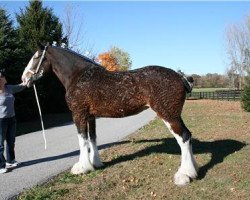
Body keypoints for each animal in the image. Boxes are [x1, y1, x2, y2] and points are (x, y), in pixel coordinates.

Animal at [21, 44, 197, 186]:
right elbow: (92, 138)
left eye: (36, 57)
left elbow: (82, 140)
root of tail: (180, 77)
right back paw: (193, 170)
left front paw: (82, 167)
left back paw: (184, 175)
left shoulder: (79, 114)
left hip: (168, 114)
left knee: (183, 137)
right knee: (188, 135)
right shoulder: (91, 116)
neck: (78, 76)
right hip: (175, 114)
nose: (24, 78)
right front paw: (95, 163)